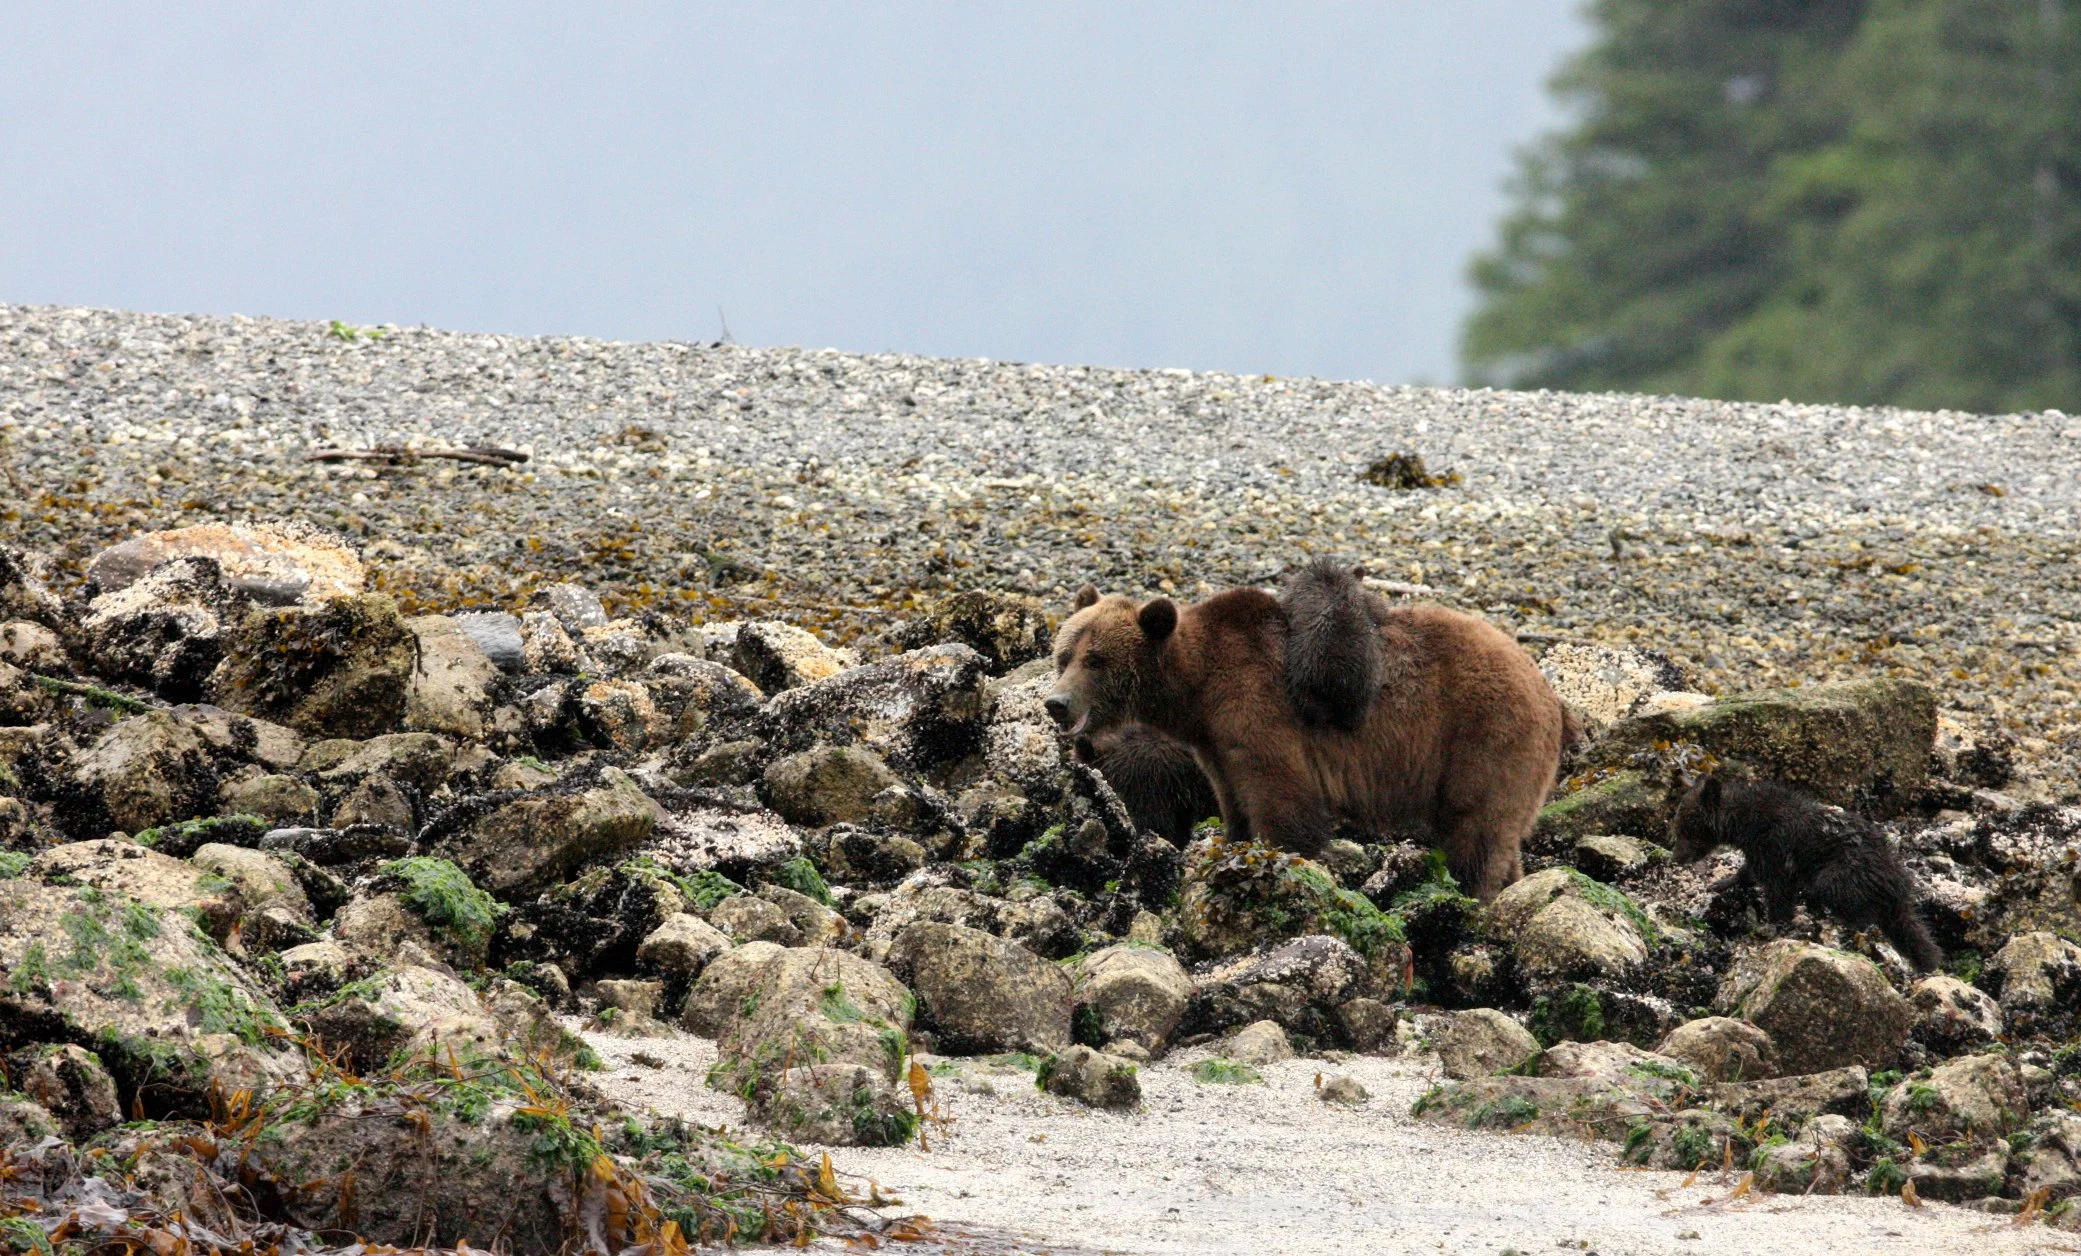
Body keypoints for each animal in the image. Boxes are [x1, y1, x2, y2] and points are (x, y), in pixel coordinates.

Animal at [1670, 772, 1942, 972]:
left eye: (1687, 827)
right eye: (1679, 824)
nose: (1676, 857)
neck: (1745, 822)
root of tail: (1896, 881)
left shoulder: (1775, 846)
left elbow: (1779, 889)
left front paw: (1773, 928)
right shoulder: (1759, 848)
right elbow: (1750, 871)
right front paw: (1722, 882)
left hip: (1846, 870)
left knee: (1842, 896)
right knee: (1909, 929)